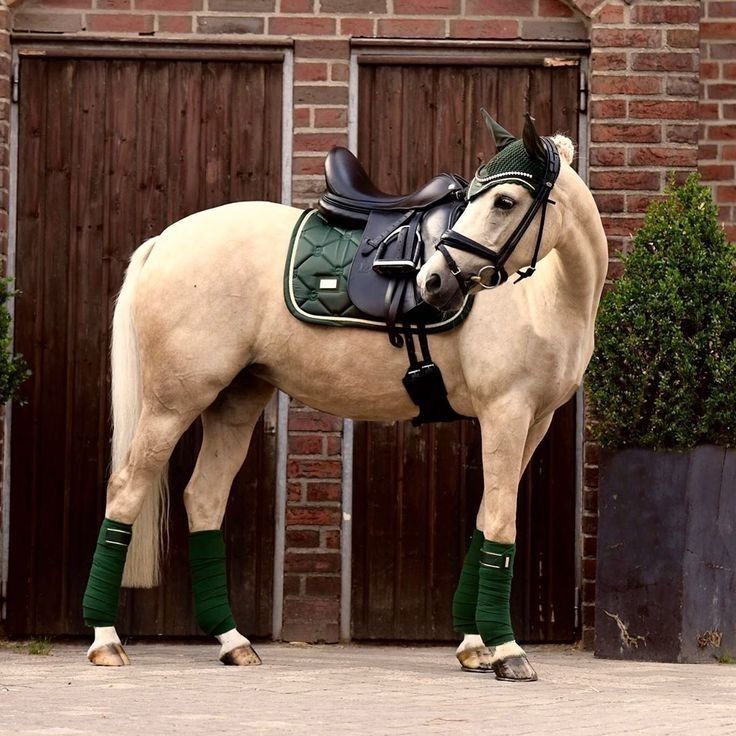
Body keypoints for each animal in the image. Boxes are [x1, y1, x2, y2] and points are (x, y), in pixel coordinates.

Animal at [83, 116, 608, 684]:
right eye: (479, 197)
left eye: (506, 201)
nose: (432, 281)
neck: (549, 295)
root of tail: (165, 240)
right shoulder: (504, 413)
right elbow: (502, 522)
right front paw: (508, 650)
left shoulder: (534, 421)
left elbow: (487, 516)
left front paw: (475, 646)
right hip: (173, 403)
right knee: (126, 490)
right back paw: (106, 640)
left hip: (236, 402)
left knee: (203, 498)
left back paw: (233, 641)